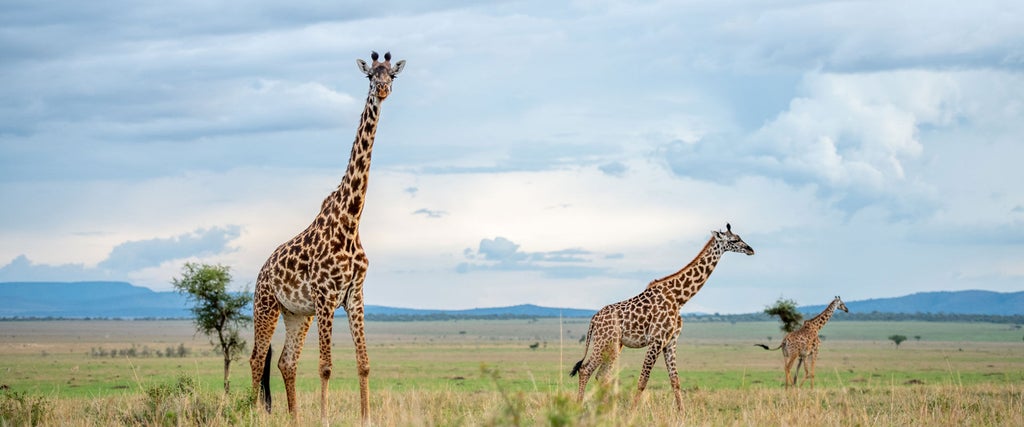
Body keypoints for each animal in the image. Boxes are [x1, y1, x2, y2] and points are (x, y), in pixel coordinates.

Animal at [249, 49, 405, 421]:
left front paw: (366, 418)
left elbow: (364, 364)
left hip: (296, 314)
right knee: (257, 358)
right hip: (266, 305)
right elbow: (326, 366)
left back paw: (294, 418)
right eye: (370, 76)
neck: (351, 220)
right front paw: (324, 418)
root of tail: (262, 271)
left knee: (285, 362)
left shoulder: (354, 295)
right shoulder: (325, 296)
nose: (382, 90)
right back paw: (251, 414)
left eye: (392, 75)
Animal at [573, 223, 757, 409]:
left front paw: (682, 412)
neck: (679, 298)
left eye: (740, 237)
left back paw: (606, 409)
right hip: (604, 341)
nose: (751, 249)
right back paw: (580, 407)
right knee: (586, 369)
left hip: (615, 344)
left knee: (602, 375)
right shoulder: (657, 339)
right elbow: (643, 380)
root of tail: (593, 320)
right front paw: (632, 411)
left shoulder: (671, 341)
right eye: (733, 240)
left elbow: (675, 380)